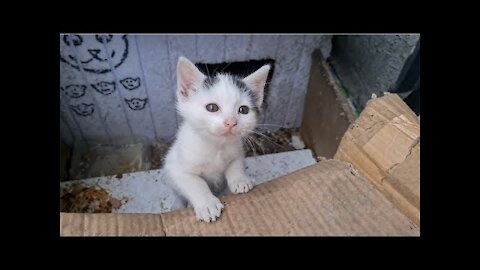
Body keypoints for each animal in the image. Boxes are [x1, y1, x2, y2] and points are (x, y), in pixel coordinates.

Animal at [164, 56, 270, 221]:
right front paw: (207, 204)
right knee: (178, 194)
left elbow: (235, 165)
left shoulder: (237, 151)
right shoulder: (178, 169)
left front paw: (240, 180)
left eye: (243, 110)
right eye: (212, 108)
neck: (216, 146)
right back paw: (177, 206)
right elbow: (196, 183)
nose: (231, 122)